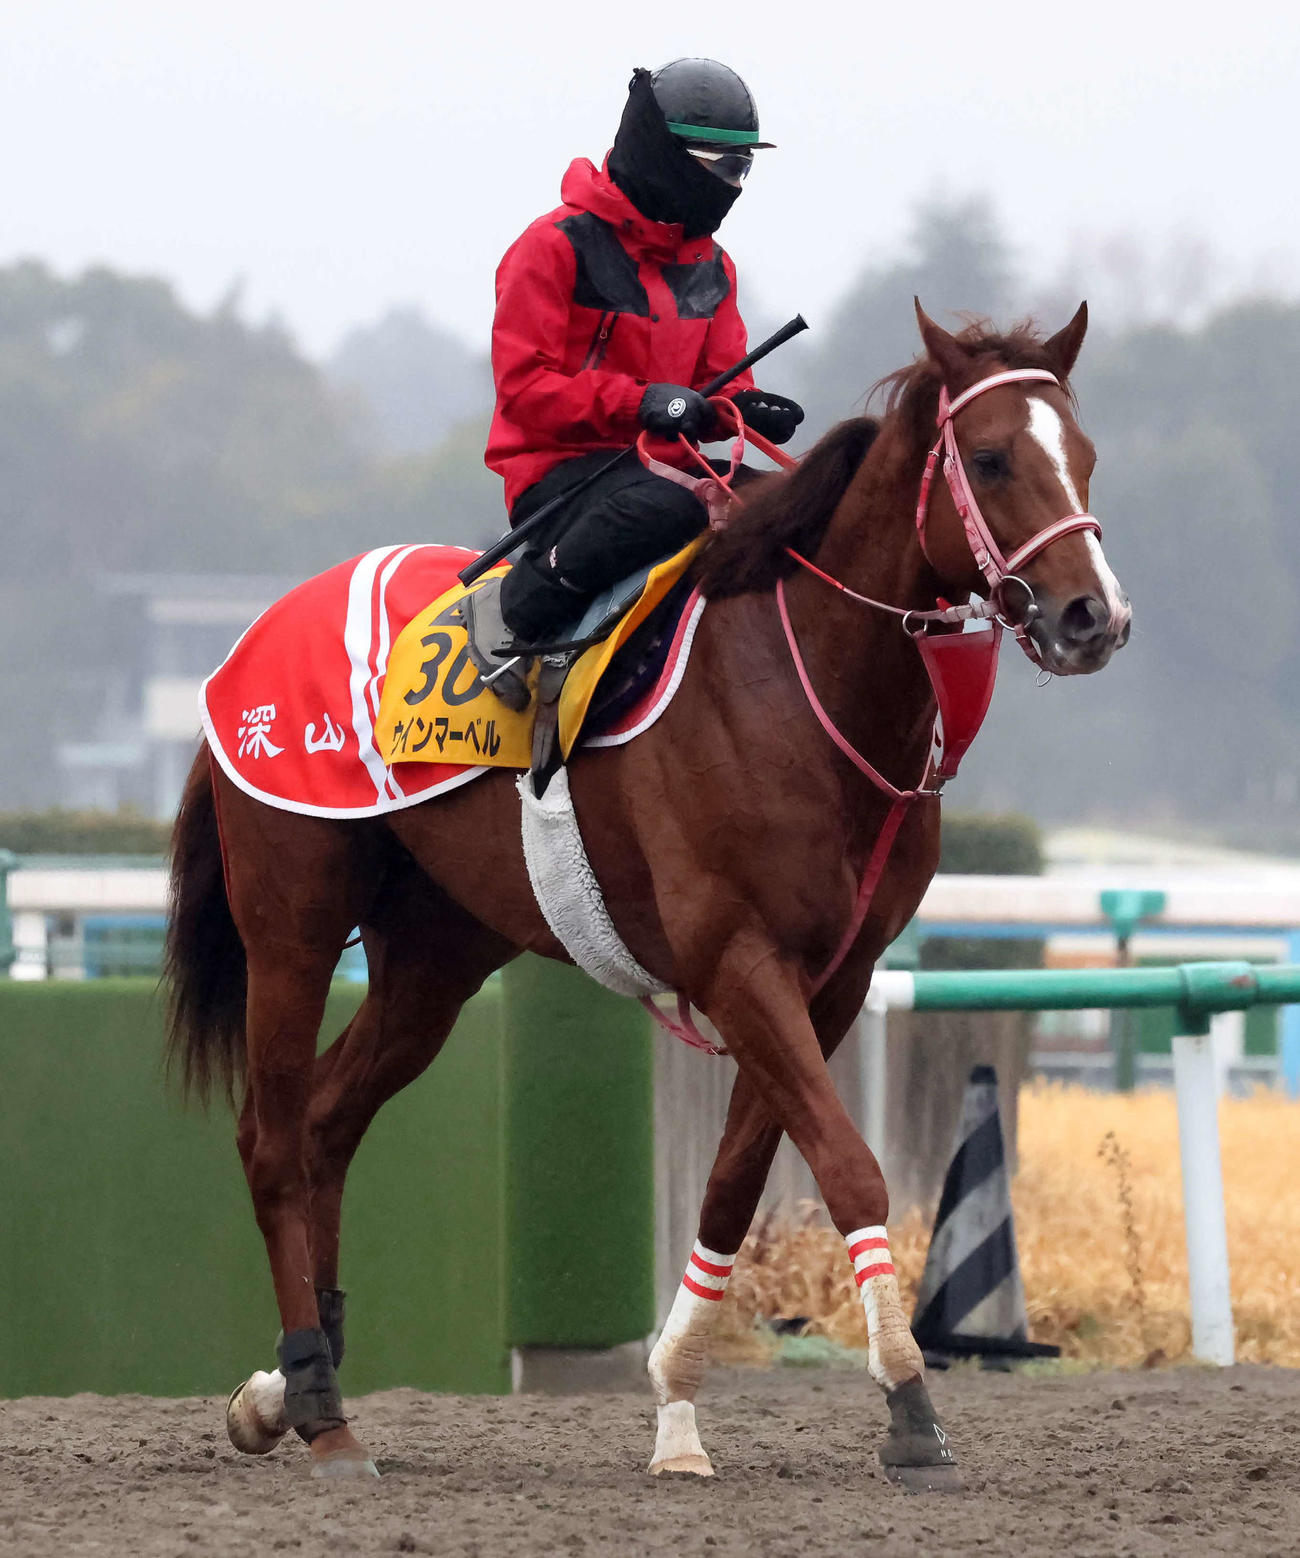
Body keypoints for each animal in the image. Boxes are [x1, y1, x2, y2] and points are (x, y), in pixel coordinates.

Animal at [165, 301, 1130, 1487]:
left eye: (1082, 454)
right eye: (990, 458)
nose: (1092, 615)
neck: (801, 681)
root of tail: (238, 655)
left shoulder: (829, 977)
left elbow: (733, 1183)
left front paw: (675, 1402)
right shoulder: (737, 958)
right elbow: (850, 1169)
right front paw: (908, 1403)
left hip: (435, 956)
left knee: (326, 1124)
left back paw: (290, 1392)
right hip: (292, 925)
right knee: (269, 1139)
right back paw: (320, 1404)